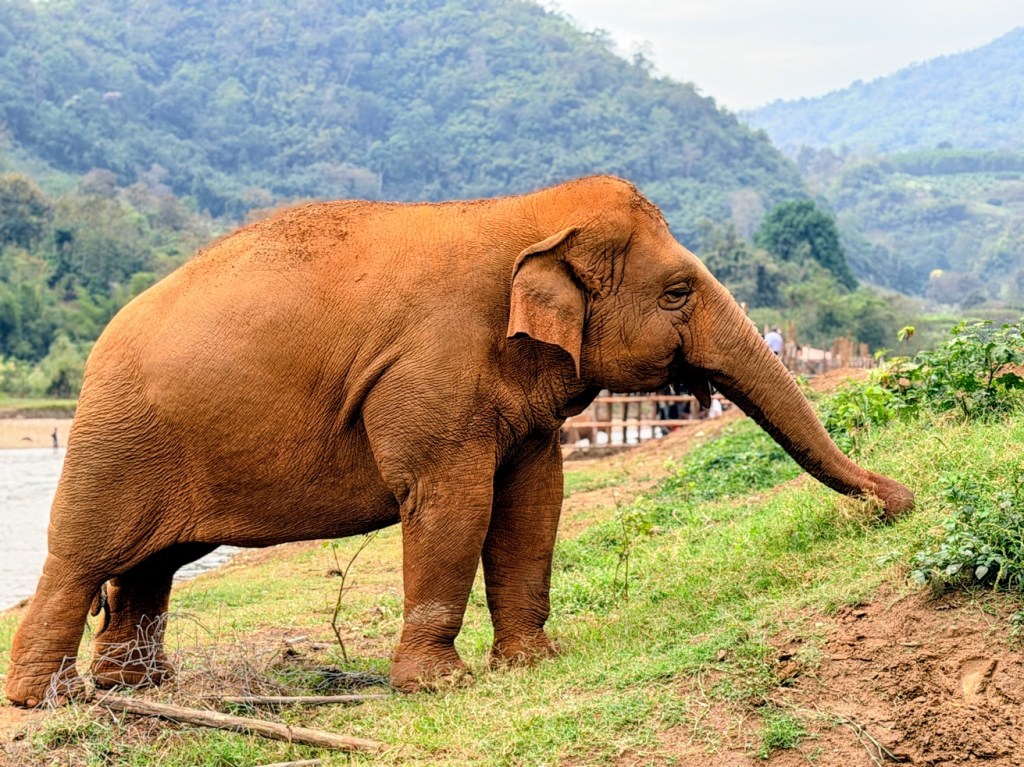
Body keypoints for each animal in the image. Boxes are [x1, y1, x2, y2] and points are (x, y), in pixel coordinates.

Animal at [4, 175, 913, 707]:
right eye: (679, 291)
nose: (900, 500)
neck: (524, 212)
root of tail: (98, 344)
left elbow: (534, 500)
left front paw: (535, 662)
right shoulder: (429, 372)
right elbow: (452, 501)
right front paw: (438, 685)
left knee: (150, 565)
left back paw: (137, 687)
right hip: (114, 437)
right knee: (83, 558)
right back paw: (49, 700)